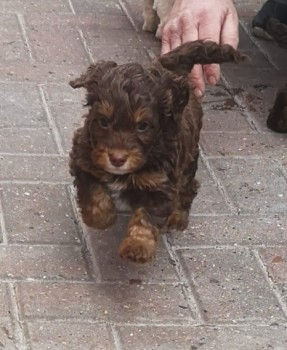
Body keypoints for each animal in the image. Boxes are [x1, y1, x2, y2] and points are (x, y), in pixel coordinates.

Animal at [69, 41, 245, 262]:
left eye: (143, 126)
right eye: (103, 122)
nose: (117, 159)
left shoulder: (160, 185)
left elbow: (146, 216)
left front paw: (138, 246)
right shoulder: (83, 159)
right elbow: (93, 192)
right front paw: (102, 218)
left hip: (188, 161)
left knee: (188, 188)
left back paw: (178, 217)